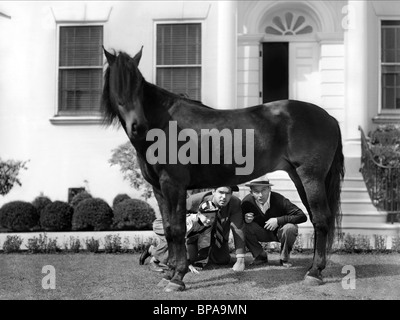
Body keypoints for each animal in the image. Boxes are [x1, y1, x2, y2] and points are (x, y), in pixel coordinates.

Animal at [101, 47, 346, 292]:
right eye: (116, 84)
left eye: (137, 83)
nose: (138, 125)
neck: (163, 125)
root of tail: (329, 117)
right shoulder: (159, 189)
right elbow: (169, 229)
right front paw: (168, 273)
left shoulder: (174, 186)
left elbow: (178, 229)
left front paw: (177, 277)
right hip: (299, 177)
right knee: (316, 218)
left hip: (311, 178)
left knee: (321, 219)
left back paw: (314, 273)